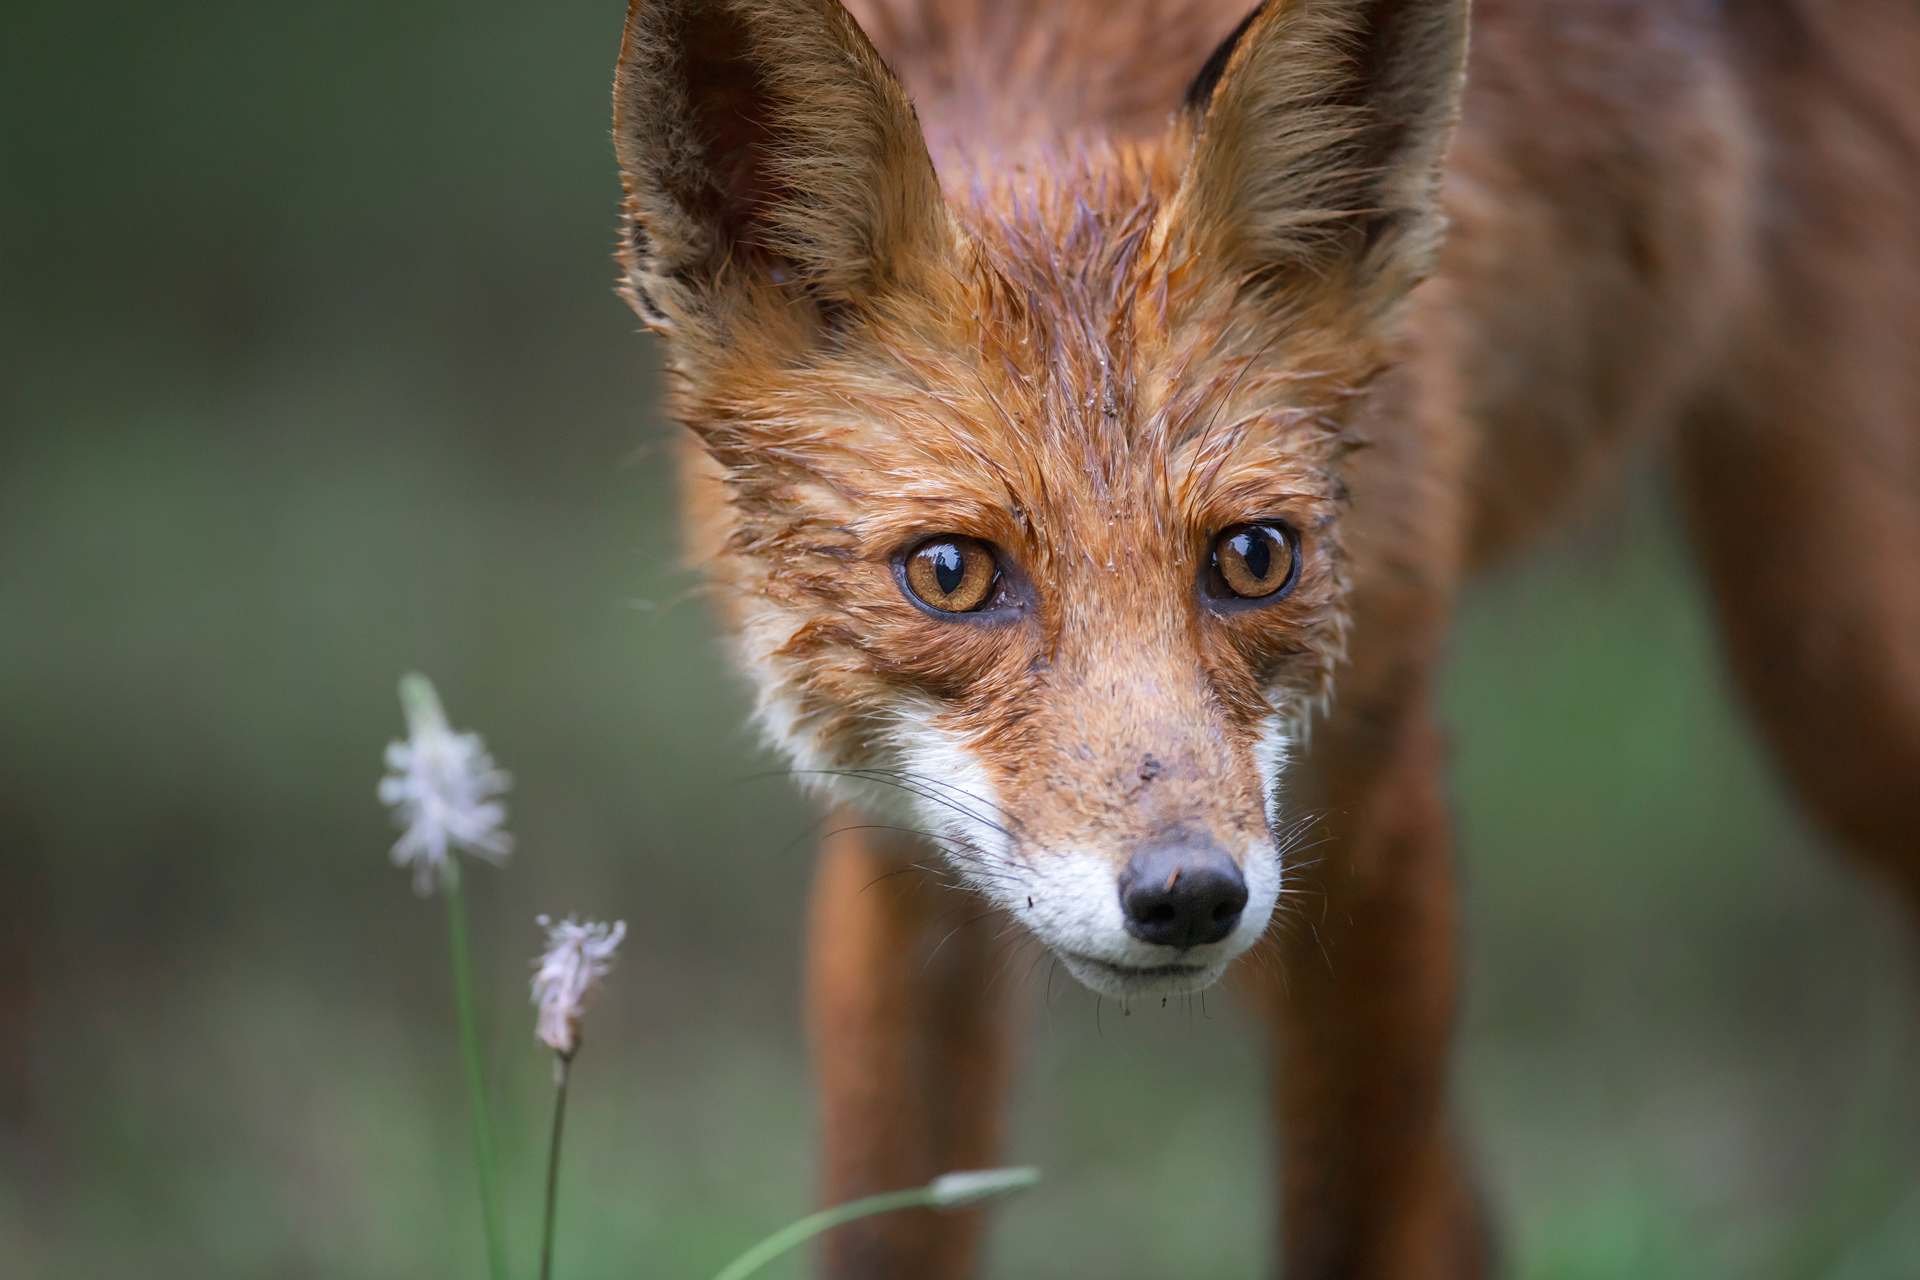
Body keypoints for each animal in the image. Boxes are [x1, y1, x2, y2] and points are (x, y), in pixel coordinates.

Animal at [610, 0, 1920, 1274]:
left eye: (1253, 557)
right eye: (950, 572)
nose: (1188, 894)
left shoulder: (1379, 804)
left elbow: (1356, 1226)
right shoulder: (898, 853)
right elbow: (887, 1220)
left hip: (1837, 671)